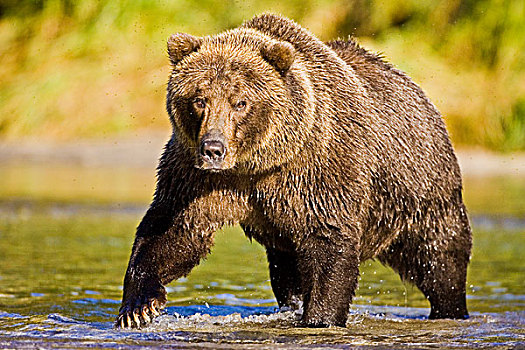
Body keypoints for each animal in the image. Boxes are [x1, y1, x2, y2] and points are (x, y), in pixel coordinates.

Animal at [114, 11, 470, 328]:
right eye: (199, 99)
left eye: (240, 102)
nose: (213, 148)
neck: (256, 164)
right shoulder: (196, 177)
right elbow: (173, 229)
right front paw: (138, 307)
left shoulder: (319, 170)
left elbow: (329, 244)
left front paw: (319, 319)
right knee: (286, 271)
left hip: (421, 195)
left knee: (441, 259)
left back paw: (452, 309)